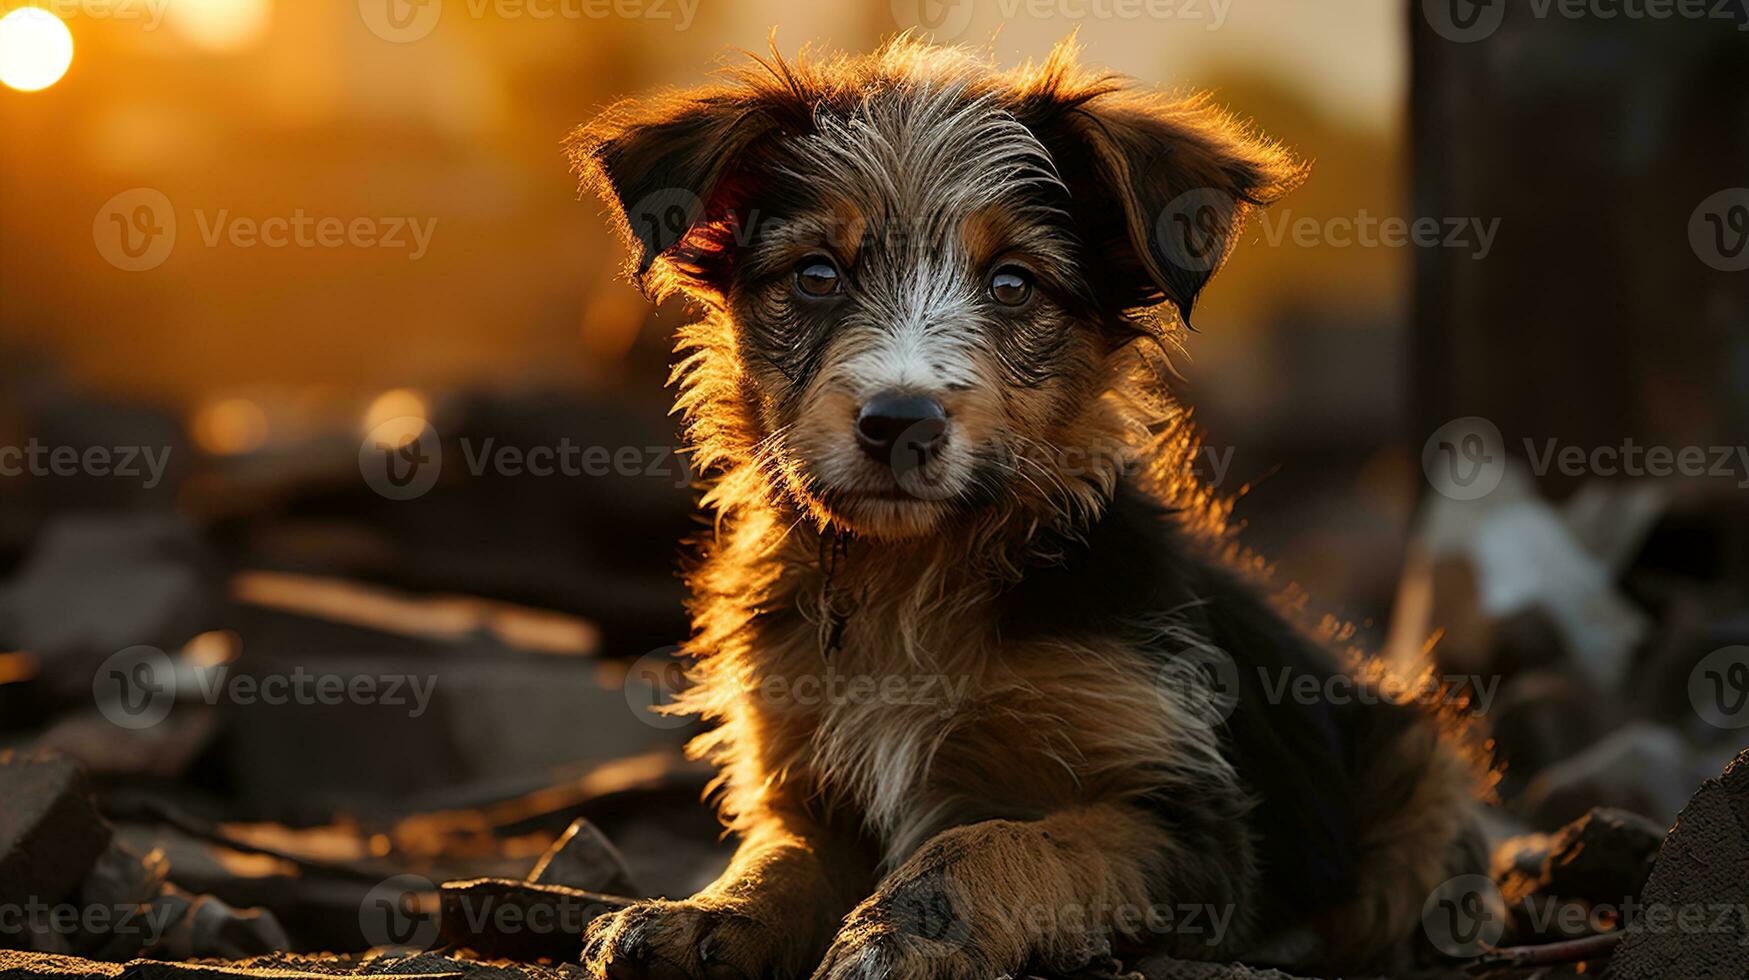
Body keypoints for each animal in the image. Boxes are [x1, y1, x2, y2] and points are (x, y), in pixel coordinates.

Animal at [570, 38, 1490, 980]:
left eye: (1013, 284)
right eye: (816, 274)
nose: (899, 421)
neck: (910, 573)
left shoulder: (1178, 818)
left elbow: (994, 842)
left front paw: (896, 934)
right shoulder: (803, 783)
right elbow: (778, 859)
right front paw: (701, 916)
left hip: (1420, 768)